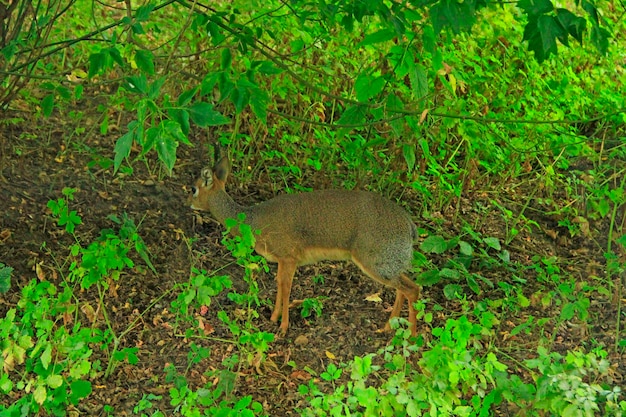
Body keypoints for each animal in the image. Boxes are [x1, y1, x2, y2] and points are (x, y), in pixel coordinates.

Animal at [188, 156, 416, 334]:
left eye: (194, 188)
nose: (188, 203)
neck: (254, 221)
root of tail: (409, 224)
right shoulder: (282, 260)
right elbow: (280, 284)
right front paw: (274, 318)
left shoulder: (289, 257)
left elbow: (286, 287)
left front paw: (283, 327)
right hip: (390, 265)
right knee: (405, 287)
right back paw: (387, 328)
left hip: (377, 263)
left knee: (413, 289)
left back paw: (412, 337)